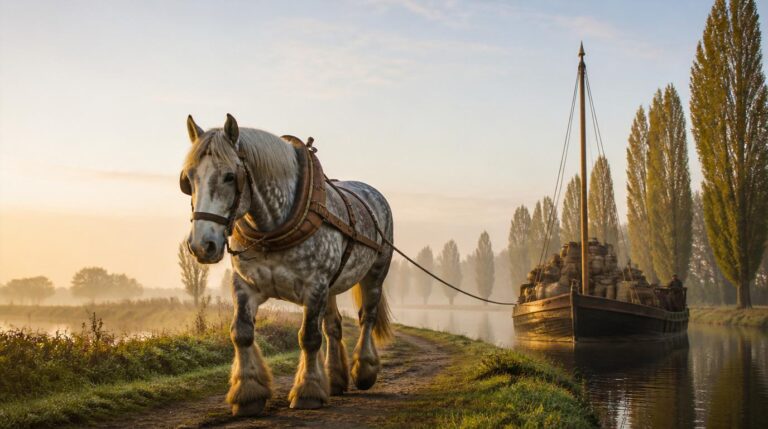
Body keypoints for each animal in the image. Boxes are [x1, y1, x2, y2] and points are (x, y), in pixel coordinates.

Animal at [180, 114, 394, 416]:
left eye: (230, 176)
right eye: (188, 179)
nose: (202, 245)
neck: (272, 228)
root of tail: (373, 193)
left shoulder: (314, 286)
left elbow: (309, 337)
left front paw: (308, 391)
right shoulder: (245, 286)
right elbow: (241, 333)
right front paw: (248, 393)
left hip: (375, 273)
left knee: (367, 318)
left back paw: (363, 370)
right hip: (331, 286)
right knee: (334, 327)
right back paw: (336, 379)